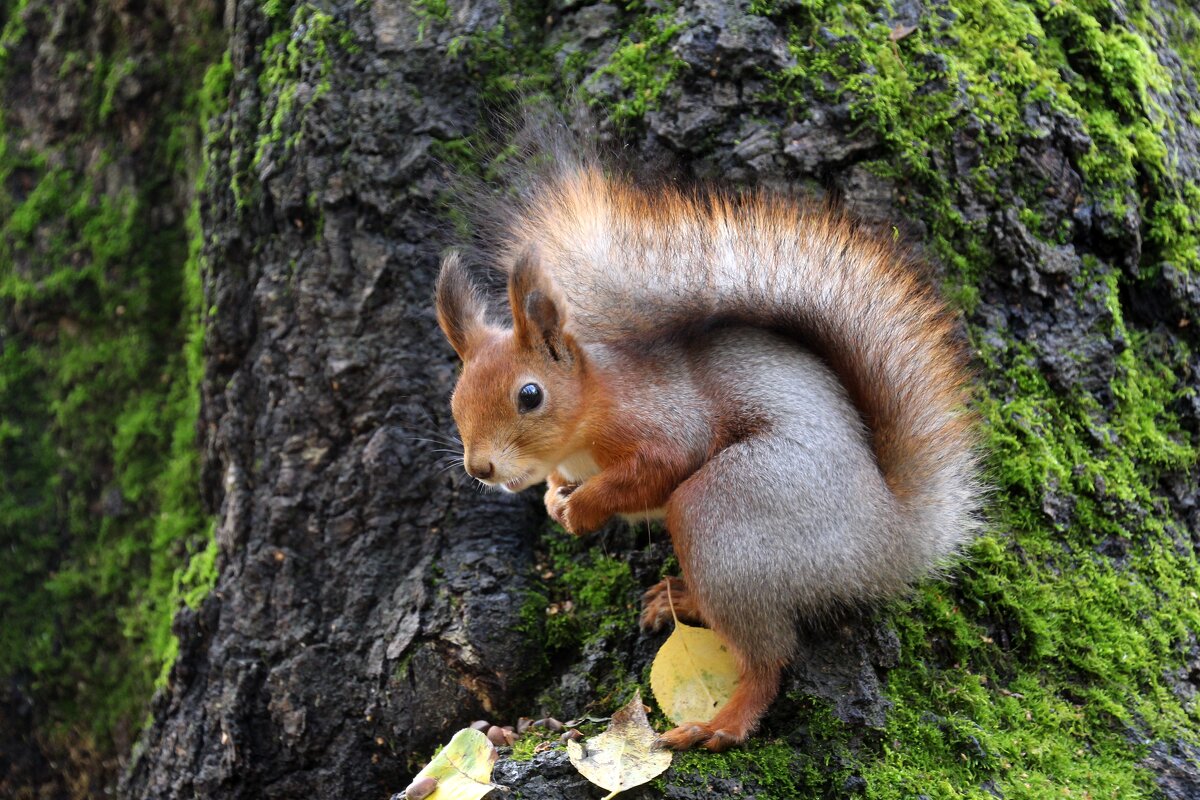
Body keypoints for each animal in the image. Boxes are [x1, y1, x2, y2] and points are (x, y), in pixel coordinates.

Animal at [436, 163, 979, 753]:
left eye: (530, 395)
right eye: (456, 399)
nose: (480, 468)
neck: (594, 408)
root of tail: (892, 540)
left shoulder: (668, 424)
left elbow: (657, 469)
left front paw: (582, 509)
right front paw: (557, 499)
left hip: (726, 514)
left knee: (766, 661)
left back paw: (719, 725)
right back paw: (679, 598)